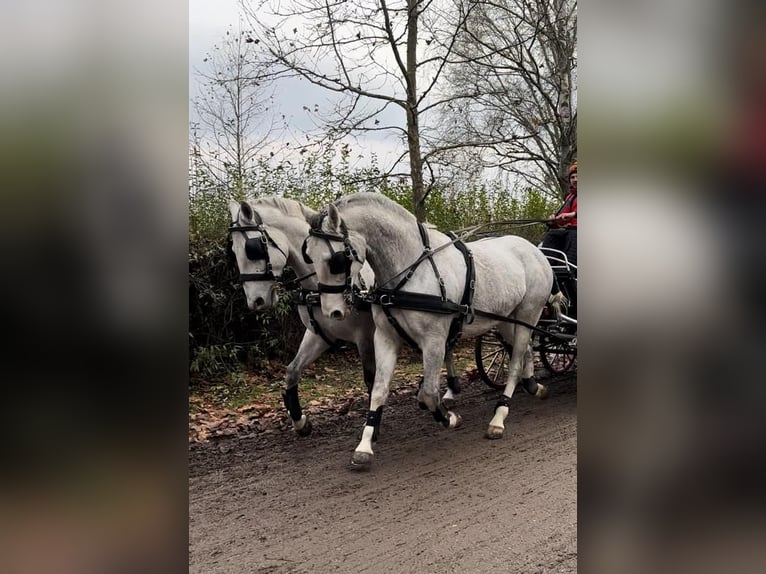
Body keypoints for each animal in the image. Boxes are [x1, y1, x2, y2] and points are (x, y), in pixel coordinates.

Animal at [306, 194, 564, 468]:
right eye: (308, 254)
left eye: (335, 260)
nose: (331, 311)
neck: (412, 270)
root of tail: (535, 250)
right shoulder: (386, 337)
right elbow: (378, 390)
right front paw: (365, 444)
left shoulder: (434, 341)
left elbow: (429, 392)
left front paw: (448, 416)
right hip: (506, 319)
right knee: (524, 349)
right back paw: (533, 385)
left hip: (529, 313)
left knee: (515, 361)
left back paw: (499, 415)